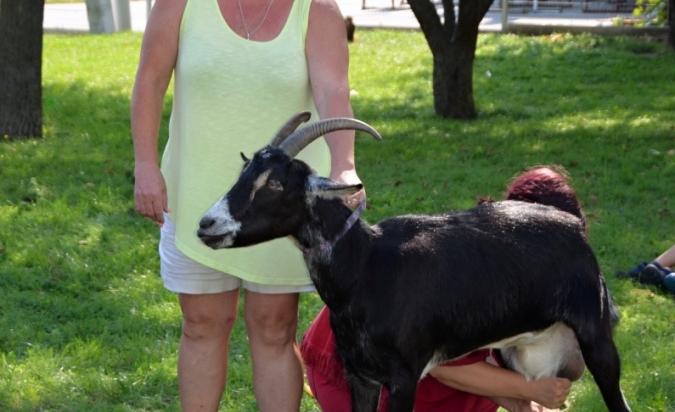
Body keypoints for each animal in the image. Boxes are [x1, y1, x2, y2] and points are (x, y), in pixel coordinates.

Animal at [198, 112, 632, 412]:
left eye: (274, 183)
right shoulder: (360, 376)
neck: (367, 268)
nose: (206, 224)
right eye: (244, 170)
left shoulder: (404, 377)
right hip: (518, 356)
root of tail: (574, 225)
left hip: (595, 335)